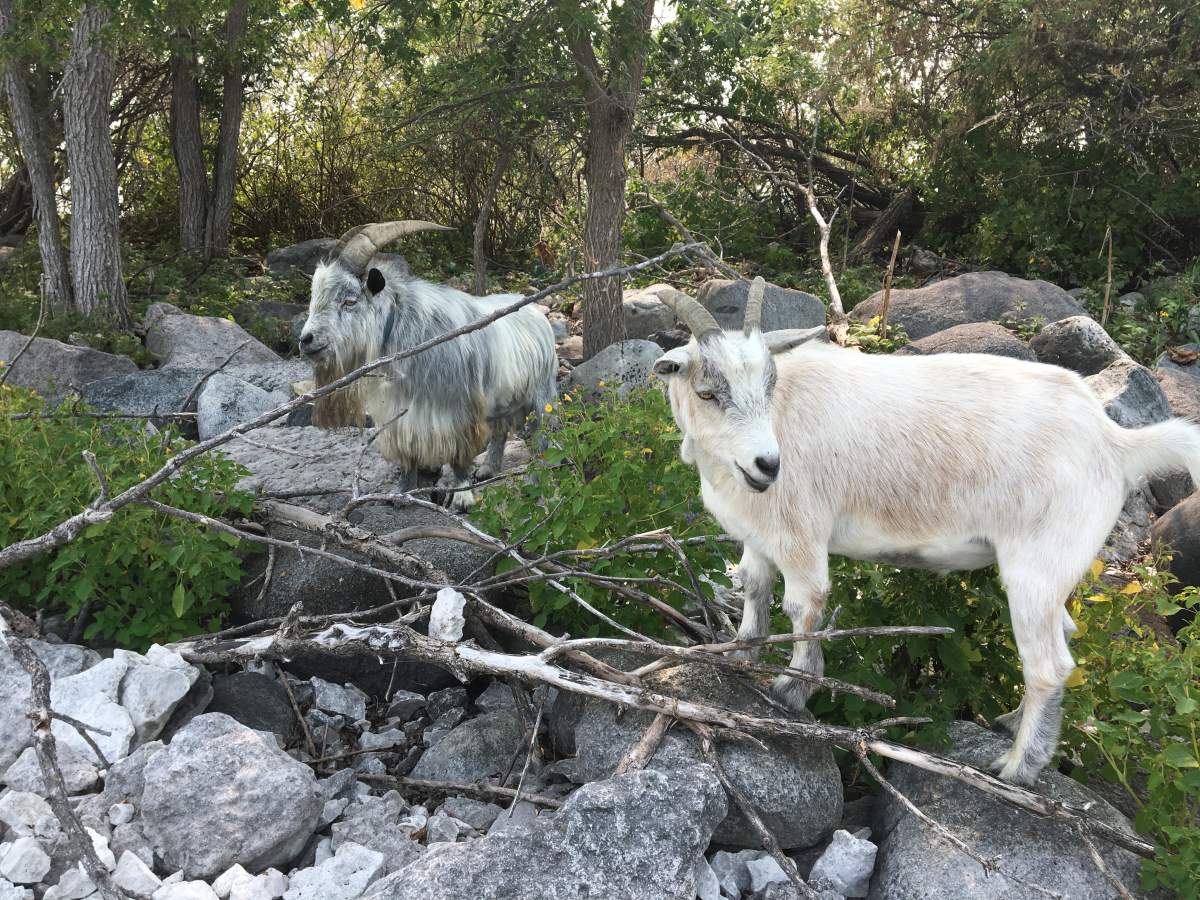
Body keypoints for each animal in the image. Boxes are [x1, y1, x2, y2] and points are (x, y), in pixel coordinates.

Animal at [299, 221, 558, 510]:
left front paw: (463, 497)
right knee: (501, 431)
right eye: (314, 297)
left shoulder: (461, 410)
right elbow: (407, 455)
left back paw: (536, 482)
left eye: (350, 300)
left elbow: (459, 456)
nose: (306, 340)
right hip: (504, 400)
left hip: (542, 395)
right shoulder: (400, 415)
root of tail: (537, 313)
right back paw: (487, 470)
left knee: (541, 438)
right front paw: (400, 494)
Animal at [651, 277, 1200, 785]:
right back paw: (1011, 723)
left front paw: (792, 689)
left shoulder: (800, 532)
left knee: (1048, 665)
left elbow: (804, 605)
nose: (767, 464)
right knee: (1063, 635)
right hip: (1056, 567)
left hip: (1038, 564)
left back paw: (1017, 767)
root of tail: (1116, 442)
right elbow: (754, 587)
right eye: (707, 392)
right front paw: (742, 653)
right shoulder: (758, 533)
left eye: (769, 385)